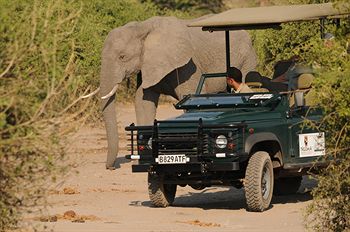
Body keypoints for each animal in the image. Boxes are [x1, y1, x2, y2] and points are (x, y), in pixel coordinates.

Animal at [99, 15, 258, 169]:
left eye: (122, 57)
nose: (111, 168)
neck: (143, 26)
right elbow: (143, 102)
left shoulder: (188, 66)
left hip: (247, 60)